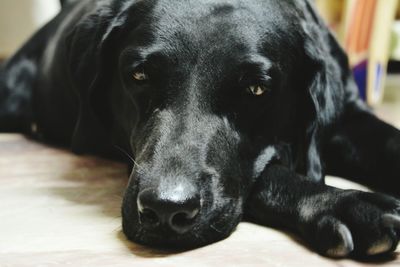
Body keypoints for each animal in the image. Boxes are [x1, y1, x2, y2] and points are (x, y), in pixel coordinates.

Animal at [0, 0, 400, 260]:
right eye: (139, 75)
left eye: (256, 89)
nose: (165, 211)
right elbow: (269, 175)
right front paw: (348, 204)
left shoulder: (348, 115)